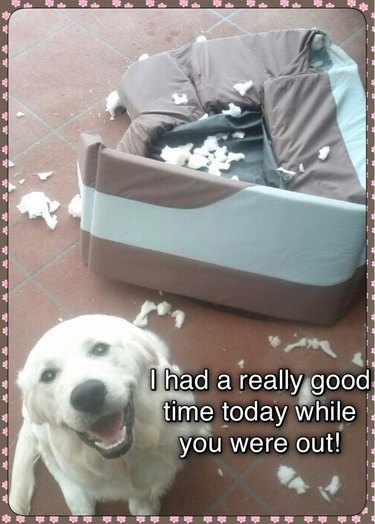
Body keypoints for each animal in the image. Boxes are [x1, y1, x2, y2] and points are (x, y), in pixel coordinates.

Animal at [9, 316, 209, 516]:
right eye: (48, 375)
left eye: (100, 349)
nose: (88, 396)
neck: (126, 457)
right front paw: (144, 506)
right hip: (42, 433)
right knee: (52, 461)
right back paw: (79, 501)